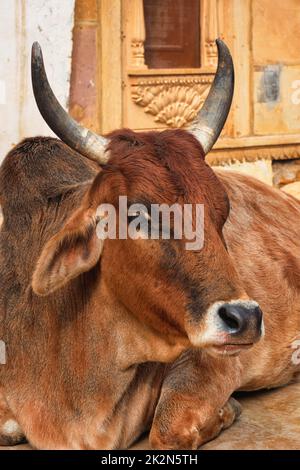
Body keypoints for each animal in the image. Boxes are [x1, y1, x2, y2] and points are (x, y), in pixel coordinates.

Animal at [0, 40, 298, 448]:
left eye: (222, 211)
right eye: (137, 215)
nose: (246, 318)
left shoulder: (211, 361)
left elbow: (167, 432)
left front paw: (226, 412)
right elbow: (10, 427)